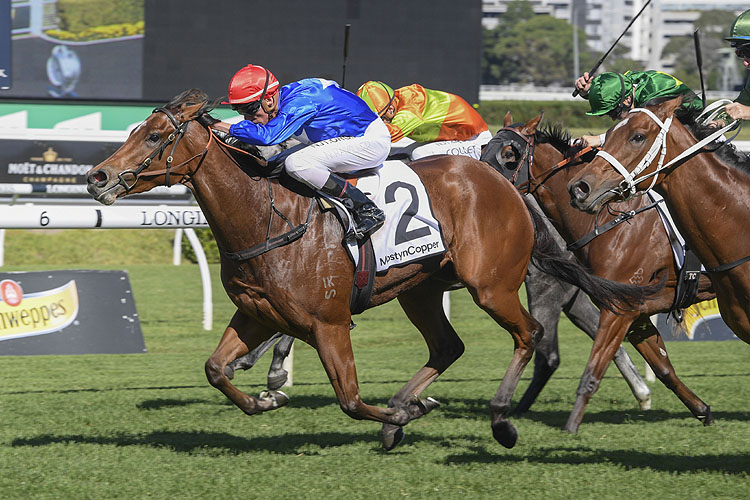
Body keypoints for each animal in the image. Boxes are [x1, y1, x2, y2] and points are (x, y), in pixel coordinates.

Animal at [86, 89, 652, 450]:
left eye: (155, 137)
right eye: (135, 130)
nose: (98, 177)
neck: (266, 215)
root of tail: (503, 183)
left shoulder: (329, 323)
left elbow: (352, 399)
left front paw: (400, 414)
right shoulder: (257, 314)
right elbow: (215, 369)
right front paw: (267, 399)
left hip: (491, 285)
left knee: (529, 335)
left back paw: (499, 420)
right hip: (420, 289)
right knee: (448, 346)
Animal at [488, 111, 716, 432]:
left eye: (509, 154)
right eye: (483, 149)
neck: (614, 222)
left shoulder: (619, 308)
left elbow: (593, 369)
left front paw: (571, 428)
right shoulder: (636, 310)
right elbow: (663, 368)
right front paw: (701, 409)